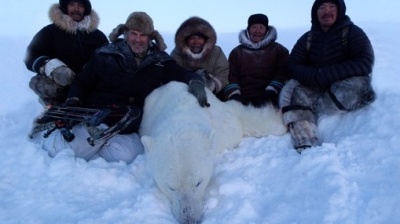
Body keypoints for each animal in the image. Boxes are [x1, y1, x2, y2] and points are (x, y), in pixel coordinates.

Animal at [139, 81, 286, 223]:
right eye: (170, 187)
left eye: (199, 182)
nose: (190, 219)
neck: (180, 115)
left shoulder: (224, 126)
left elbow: (239, 116)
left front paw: (279, 124)